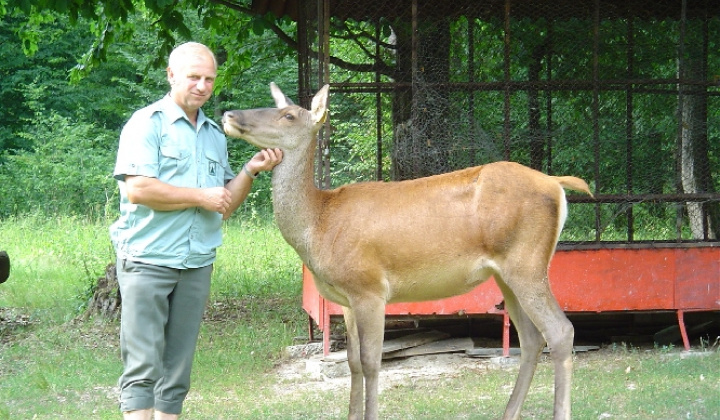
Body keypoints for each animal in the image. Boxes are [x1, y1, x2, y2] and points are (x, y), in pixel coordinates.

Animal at [224, 83, 592, 418]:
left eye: (288, 115)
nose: (229, 114)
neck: (318, 224)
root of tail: (556, 185)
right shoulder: (346, 300)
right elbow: (353, 363)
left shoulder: (369, 287)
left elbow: (372, 363)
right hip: (506, 274)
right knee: (530, 337)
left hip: (527, 262)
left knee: (561, 331)